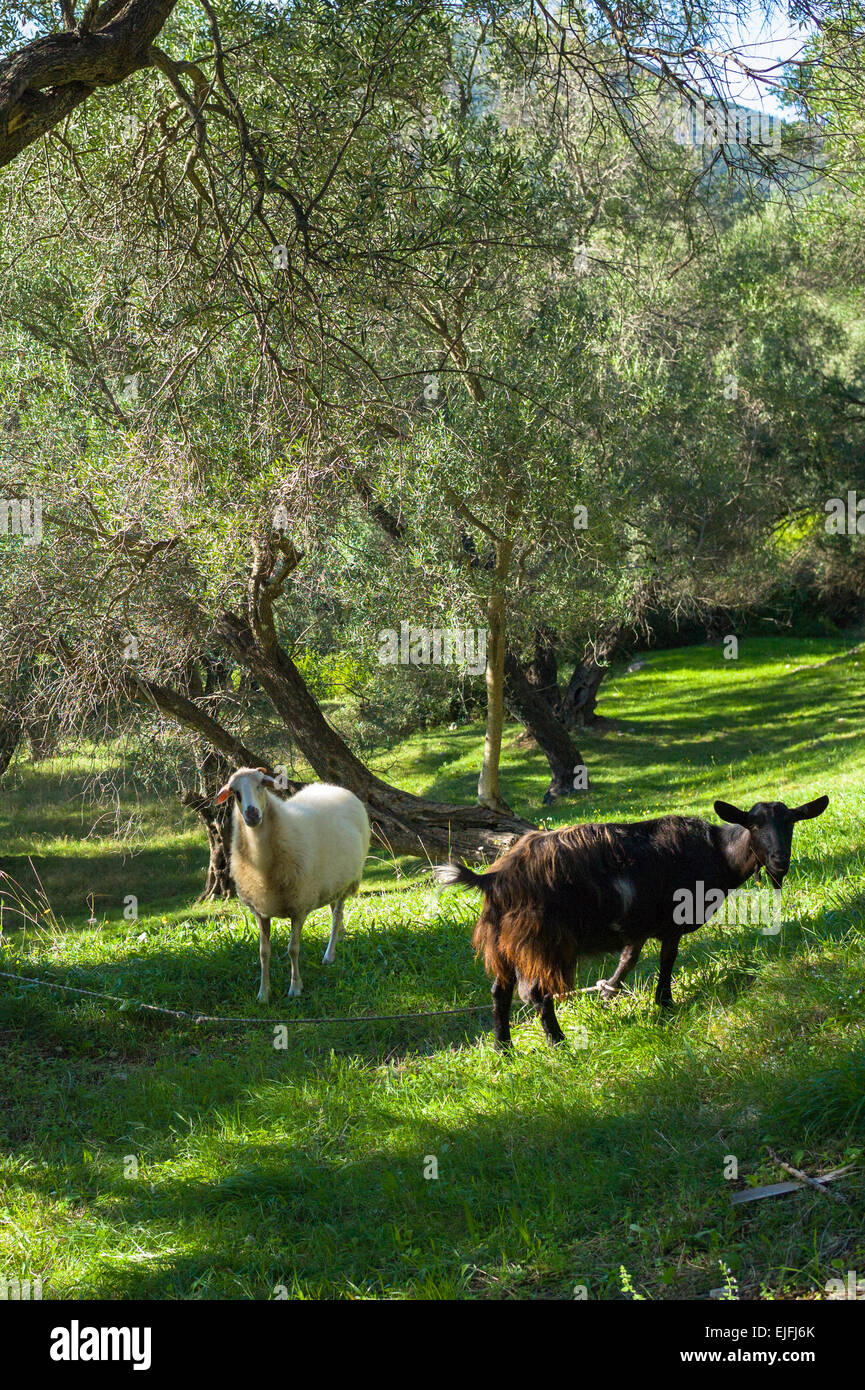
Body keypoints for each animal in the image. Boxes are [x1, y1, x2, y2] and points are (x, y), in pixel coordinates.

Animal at [216, 769, 370, 1002]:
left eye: (261, 784)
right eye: (235, 793)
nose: (252, 814)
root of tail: (334, 787)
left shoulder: (298, 907)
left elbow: (293, 949)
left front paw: (295, 987)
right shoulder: (260, 911)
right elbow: (264, 952)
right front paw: (263, 993)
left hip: (349, 880)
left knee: (336, 916)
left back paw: (330, 954)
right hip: (333, 881)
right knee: (335, 910)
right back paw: (340, 937)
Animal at [433, 795, 828, 1049]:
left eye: (791, 822)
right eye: (754, 824)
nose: (779, 861)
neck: (717, 851)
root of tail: (493, 878)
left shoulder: (637, 924)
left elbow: (629, 958)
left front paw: (609, 991)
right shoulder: (671, 921)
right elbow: (667, 960)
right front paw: (665, 1004)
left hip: (501, 943)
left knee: (499, 992)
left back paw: (504, 1049)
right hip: (542, 941)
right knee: (537, 993)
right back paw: (558, 1043)